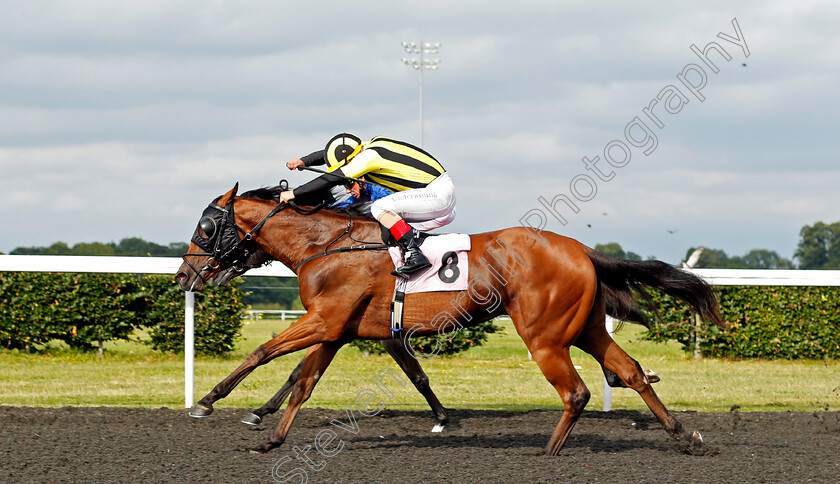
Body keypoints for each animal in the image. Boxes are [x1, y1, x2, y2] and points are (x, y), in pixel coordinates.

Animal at [176, 183, 720, 456]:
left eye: (206, 227)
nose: (185, 274)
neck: (327, 246)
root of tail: (582, 250)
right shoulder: (336, 329)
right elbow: (303, 382)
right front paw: (269, 437)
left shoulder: (325, 321)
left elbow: (262, 352)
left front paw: (207, 402)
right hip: (583, 327)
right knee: (630, 373)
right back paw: (685, 437)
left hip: (544, 336)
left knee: (577, 392)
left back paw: (547, 453)